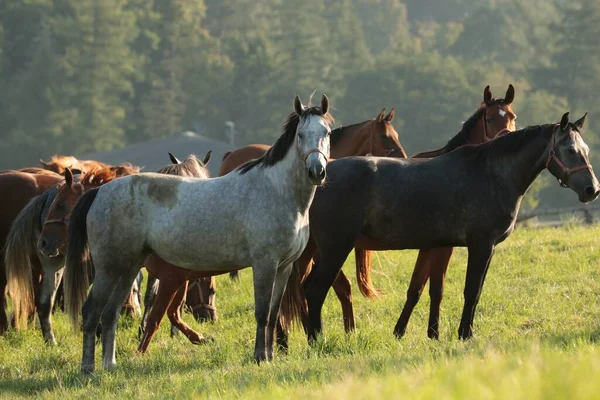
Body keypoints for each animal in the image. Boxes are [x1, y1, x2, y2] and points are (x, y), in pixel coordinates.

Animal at [64, 94, 332, 372]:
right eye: (300, 134)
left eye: (327, 132)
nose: (317, 172)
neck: (276, 190)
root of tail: (99, 192)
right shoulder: (264, 264)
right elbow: (262, 313)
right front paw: (260, 356)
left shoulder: (284, 267)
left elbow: (273, 312)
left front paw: (269, 356)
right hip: (109, 268)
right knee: (92, 311)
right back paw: (88, 368)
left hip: (128, 267)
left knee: (110, 313)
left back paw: (110, 364)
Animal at [284, 112, 596, 344]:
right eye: (570, 150)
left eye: (586, 150)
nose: (592, 189)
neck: (491, 173)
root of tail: (317, 177)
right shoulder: (480, 245)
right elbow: (471, 291)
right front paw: (464, 334)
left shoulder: (475, 248)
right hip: (335, 249)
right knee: (315, 292)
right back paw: (317, 342)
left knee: (305, 291)